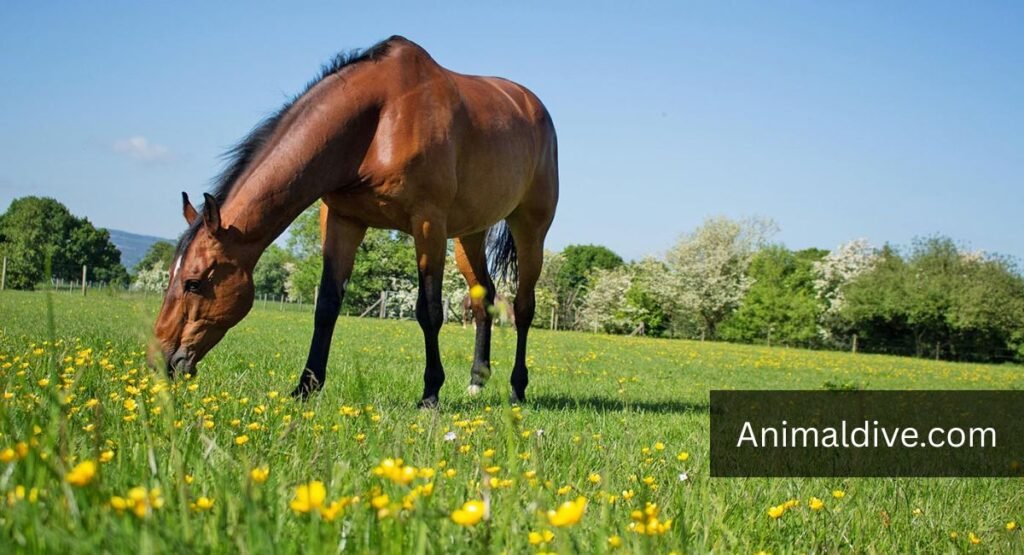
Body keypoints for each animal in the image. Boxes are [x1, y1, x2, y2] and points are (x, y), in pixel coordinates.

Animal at [151, 36, 558, 407]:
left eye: (192, 282)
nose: (160, 361)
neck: (379, 122)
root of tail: (534, 107)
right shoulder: (342, 220)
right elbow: (327, 305)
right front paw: (306, 387)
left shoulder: (427, 223)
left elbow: (428, 310)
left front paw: (430, 393)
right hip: (468, 234)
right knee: (483, 297)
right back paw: (477, 380)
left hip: (529, 227)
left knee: (523, 307)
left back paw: (518, 388)